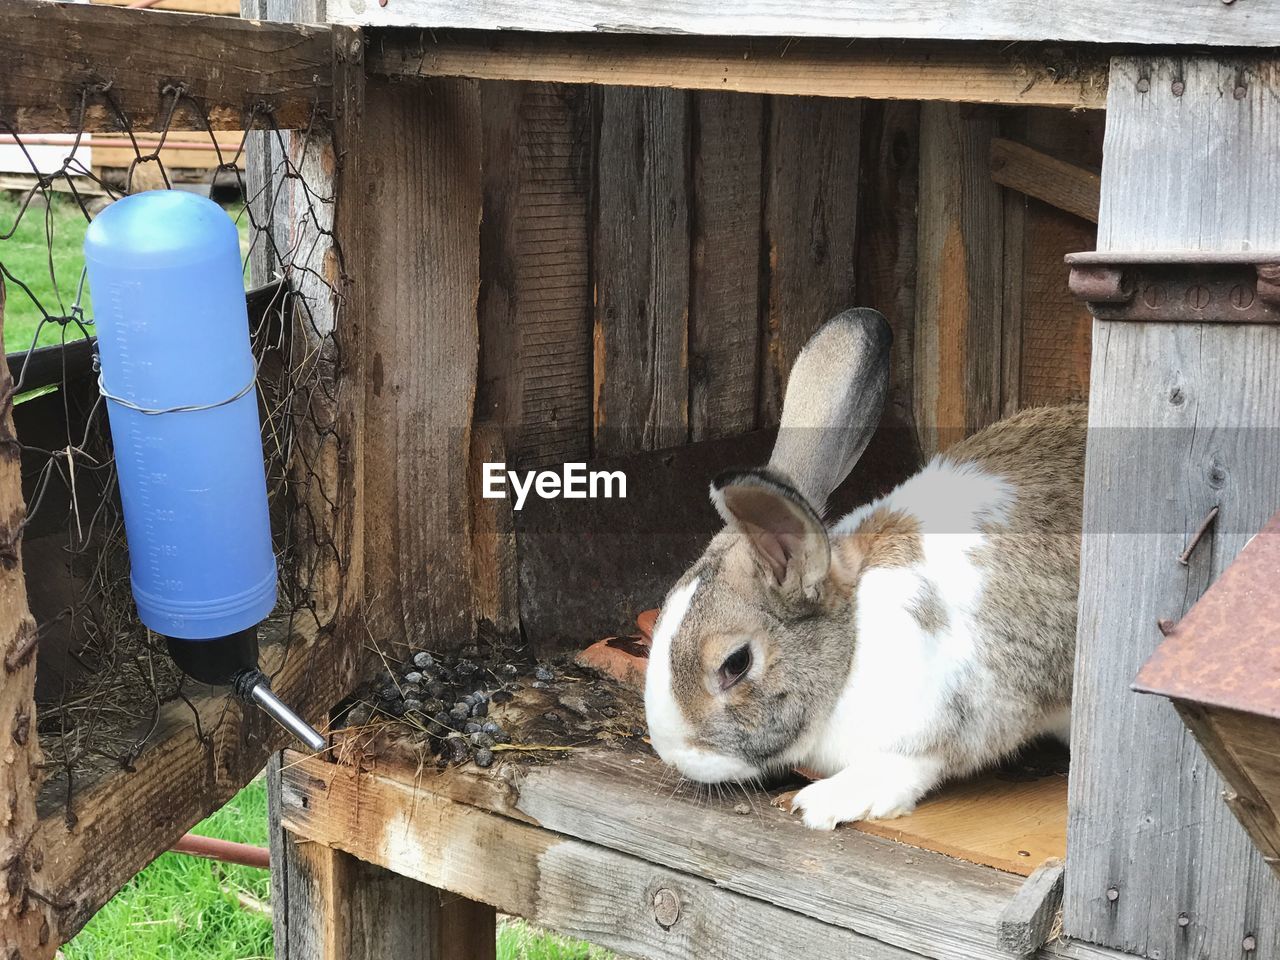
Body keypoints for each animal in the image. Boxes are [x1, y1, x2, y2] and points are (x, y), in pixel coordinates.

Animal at [645, 305, 1085, 829]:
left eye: (736, 663)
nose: (673, 755)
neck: (853, 638)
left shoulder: (958, 711)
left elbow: (911, 762)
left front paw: (828, 801)